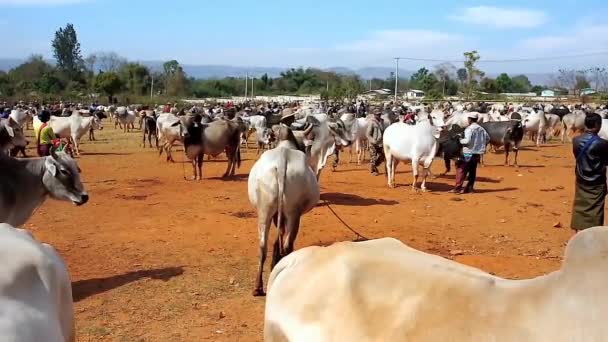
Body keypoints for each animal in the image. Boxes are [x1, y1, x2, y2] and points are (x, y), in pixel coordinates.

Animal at [249, 127, 320, 296]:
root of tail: (282, 162)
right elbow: (283, 234)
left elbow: (279, 232)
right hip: (294, 212)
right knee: (288, 244)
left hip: (265, 209)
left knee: (262, 245)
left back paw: (258, 287)